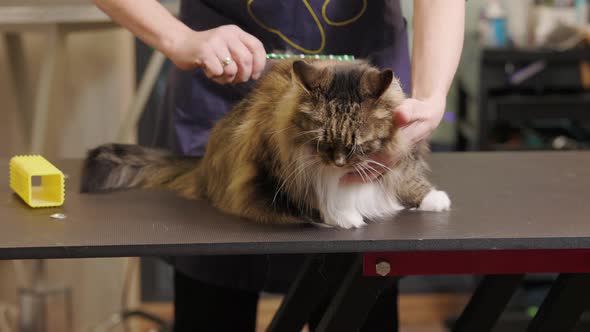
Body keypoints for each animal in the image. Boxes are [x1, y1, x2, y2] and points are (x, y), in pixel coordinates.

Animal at [81, 59, 450, 228]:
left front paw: (432, 198)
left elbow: (405, 178)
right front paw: (346, 216)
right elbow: (321, 199)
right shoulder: (278, 177)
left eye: (357, 145)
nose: (338, 163)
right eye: (323, 142)